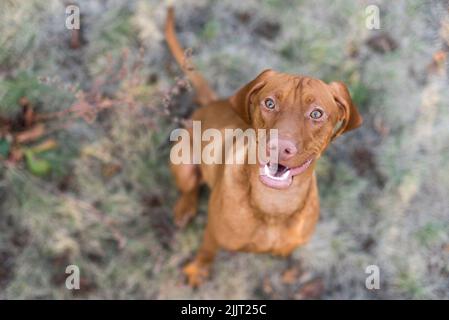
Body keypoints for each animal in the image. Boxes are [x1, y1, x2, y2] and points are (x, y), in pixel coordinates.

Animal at [164, 8, 360, 288]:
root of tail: (214, 102)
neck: (274, 204)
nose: (280, 147)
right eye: (269, 103)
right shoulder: (214, 233)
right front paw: (198, 270)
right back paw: (185, 207)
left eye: (317, 113)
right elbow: (207, 252)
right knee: (190, 187)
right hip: (183, 163)